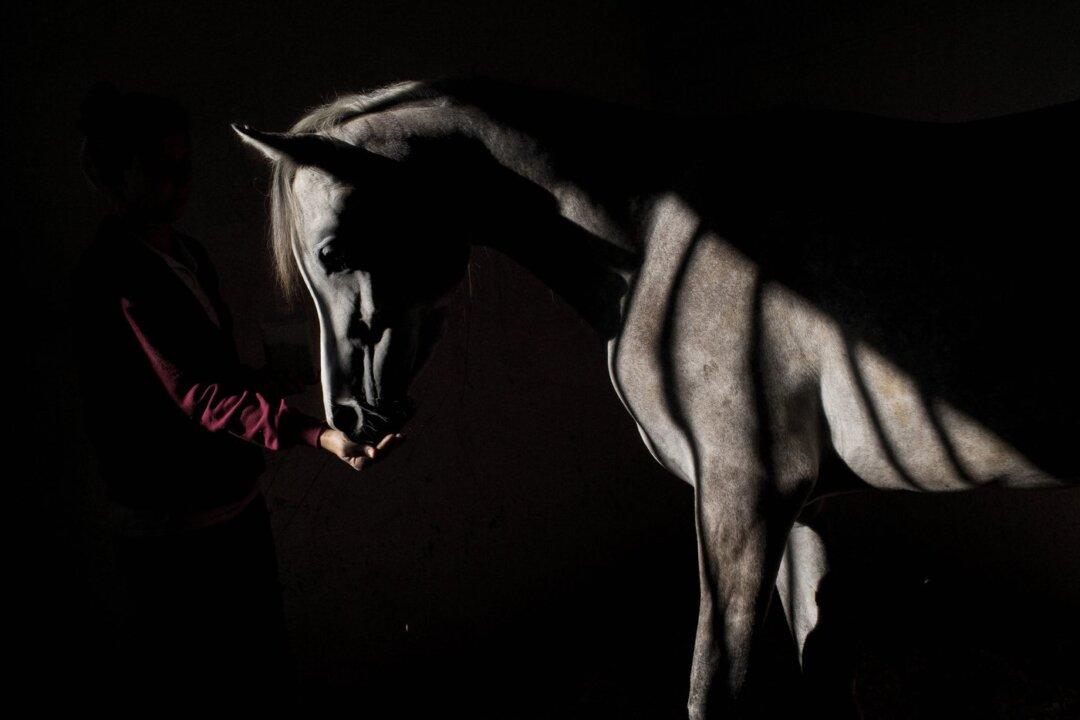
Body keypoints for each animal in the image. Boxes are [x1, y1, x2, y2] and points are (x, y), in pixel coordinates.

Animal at [233, 78, 1079, 718]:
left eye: (331, 251)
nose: (348, 419)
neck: (653, 236)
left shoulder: (744, 497)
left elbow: (713, 693)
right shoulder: (803, 507)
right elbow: (818, 663)